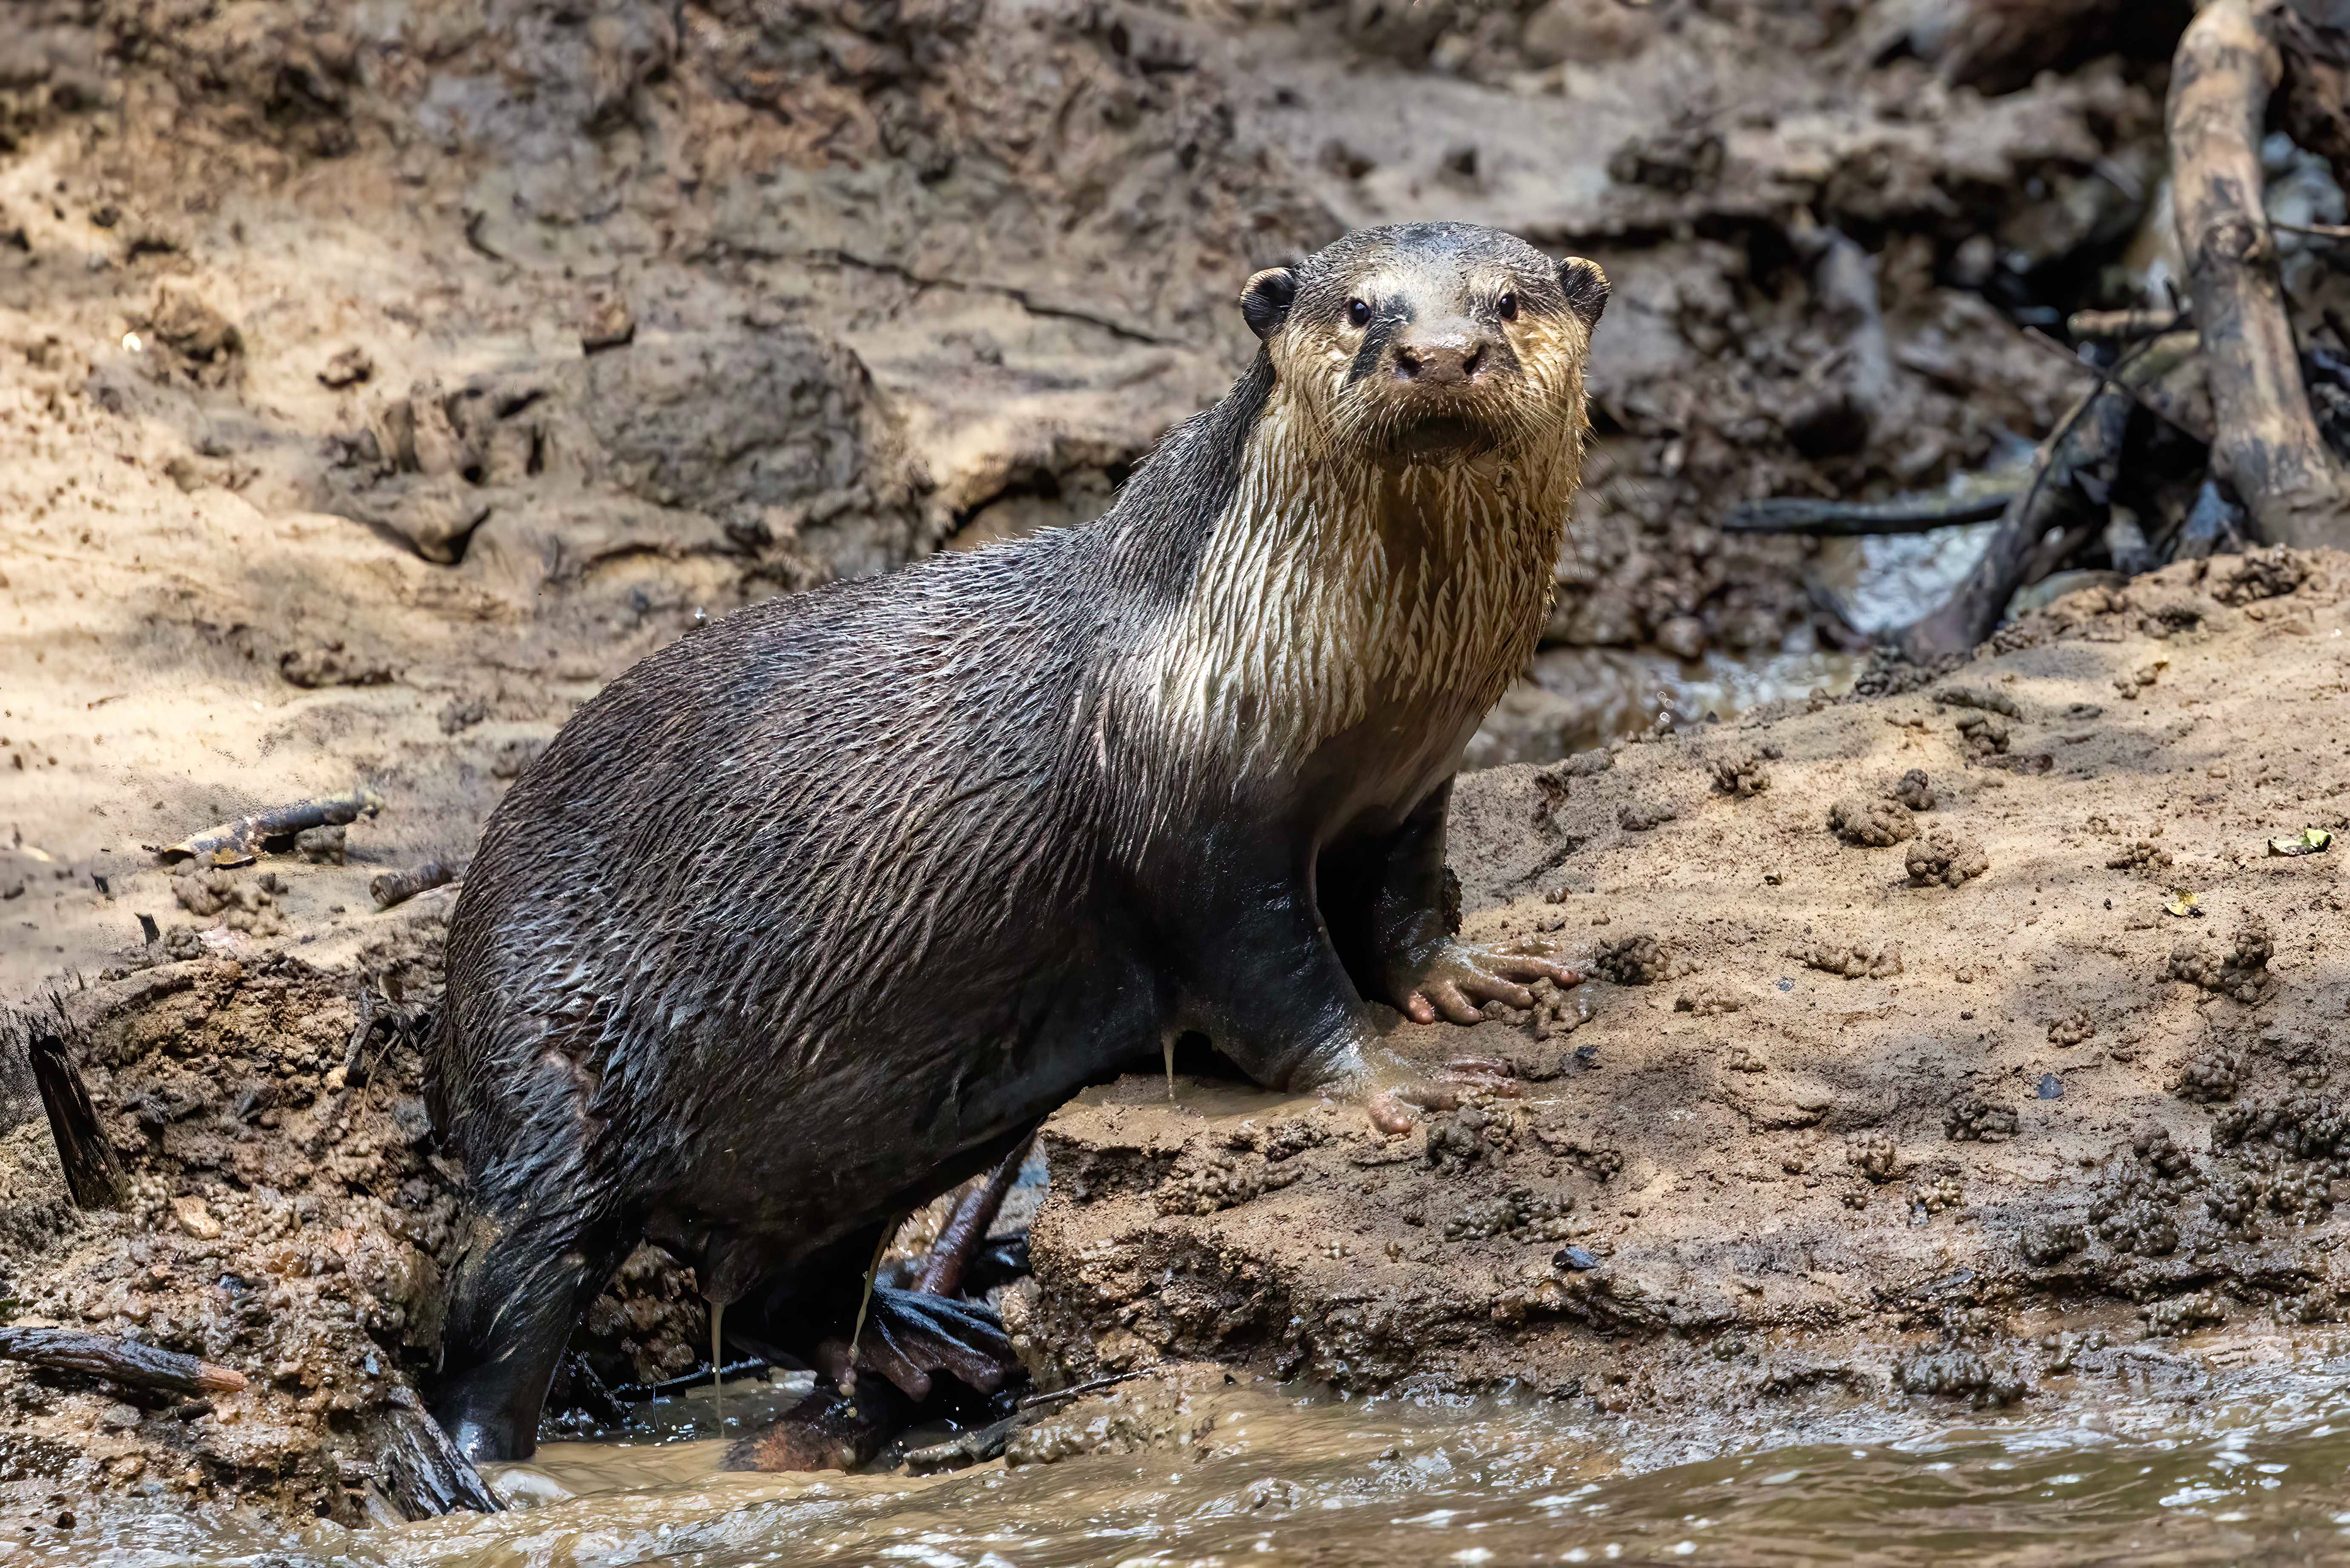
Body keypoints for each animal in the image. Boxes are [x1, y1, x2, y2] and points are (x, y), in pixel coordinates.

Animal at [426, 221, 1608, 1462]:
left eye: (1509, 301)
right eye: (1363, 310)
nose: (1440, 354)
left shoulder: (1410, 786)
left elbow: (1404, 905)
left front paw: (1476, 979)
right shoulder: (1193, 826)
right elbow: (1277, 981)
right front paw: (1384, 1076)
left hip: (843, 1156)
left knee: (770, 1293)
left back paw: (919, 1335)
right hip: (544, 1079)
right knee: (501, 1302)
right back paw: (483, 1467)